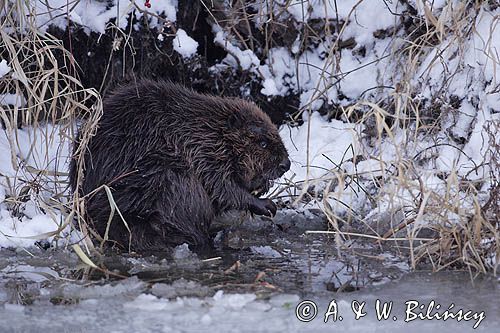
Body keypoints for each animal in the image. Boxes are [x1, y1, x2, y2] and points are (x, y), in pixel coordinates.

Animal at [69, 80, 290, 250]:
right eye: (263, 143)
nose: (286, 164)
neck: (206, 129)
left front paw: (262, 186)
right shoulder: (204, 155)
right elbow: (222, 188)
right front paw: (267, 205)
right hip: (170, 178)